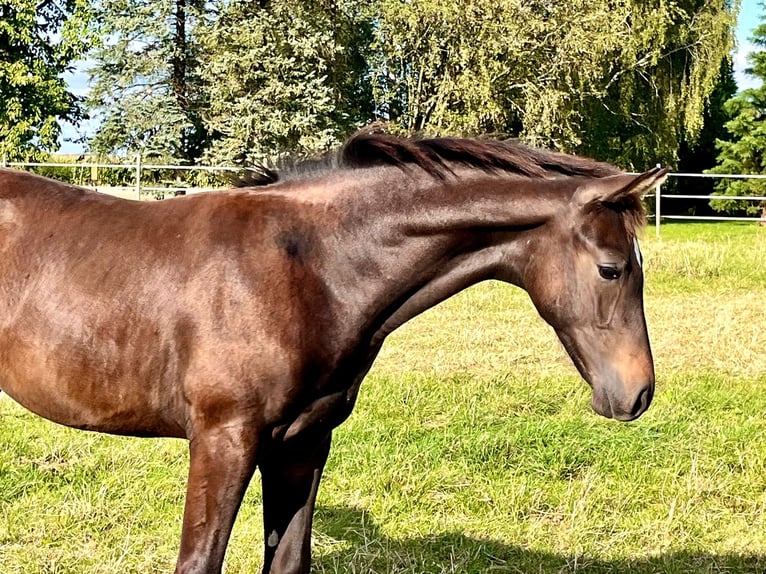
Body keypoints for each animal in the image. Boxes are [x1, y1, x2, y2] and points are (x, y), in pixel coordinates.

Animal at [0, 133, 664, 572]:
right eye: (610, 269)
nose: (637, 393)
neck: (310, 269)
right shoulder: (223, 438)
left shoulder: (302, 443)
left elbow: (289, 560)